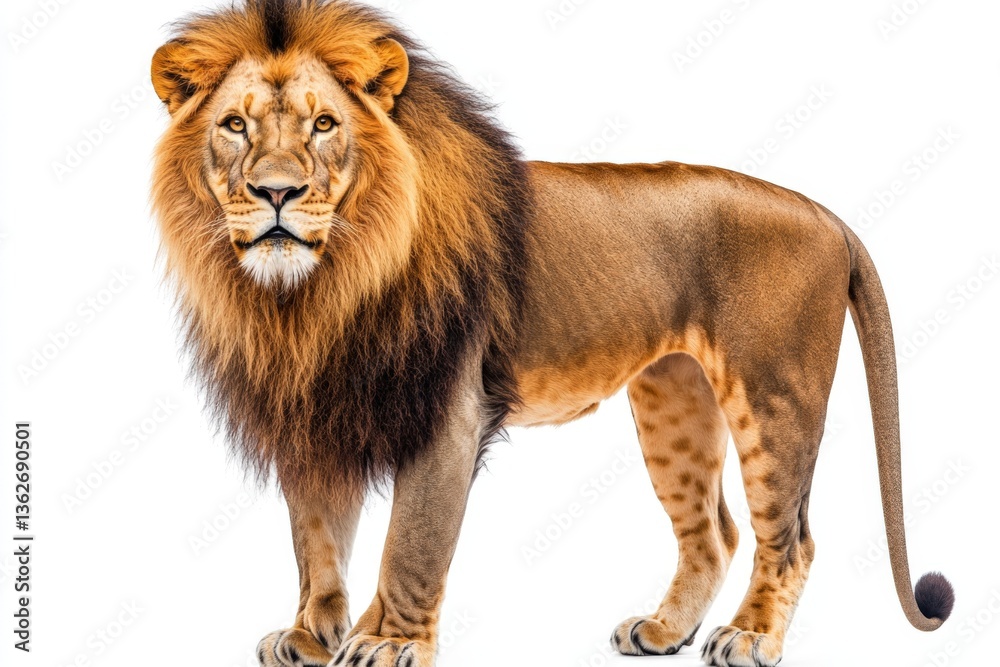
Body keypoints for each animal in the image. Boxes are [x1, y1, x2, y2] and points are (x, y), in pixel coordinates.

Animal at [150, 1, 955, 665]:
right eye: (234, 125)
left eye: (324, 125)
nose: (276, 192)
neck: (314, 294)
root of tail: (829, 216)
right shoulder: (314, 411)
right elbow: (316, 541)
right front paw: (314, 637)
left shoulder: (451, 411)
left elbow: (411, 543)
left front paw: (387, 641)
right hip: (674, 400)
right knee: (714, 531)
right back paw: (662, 631)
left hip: (774, 393)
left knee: (789, 536)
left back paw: (750, 637)